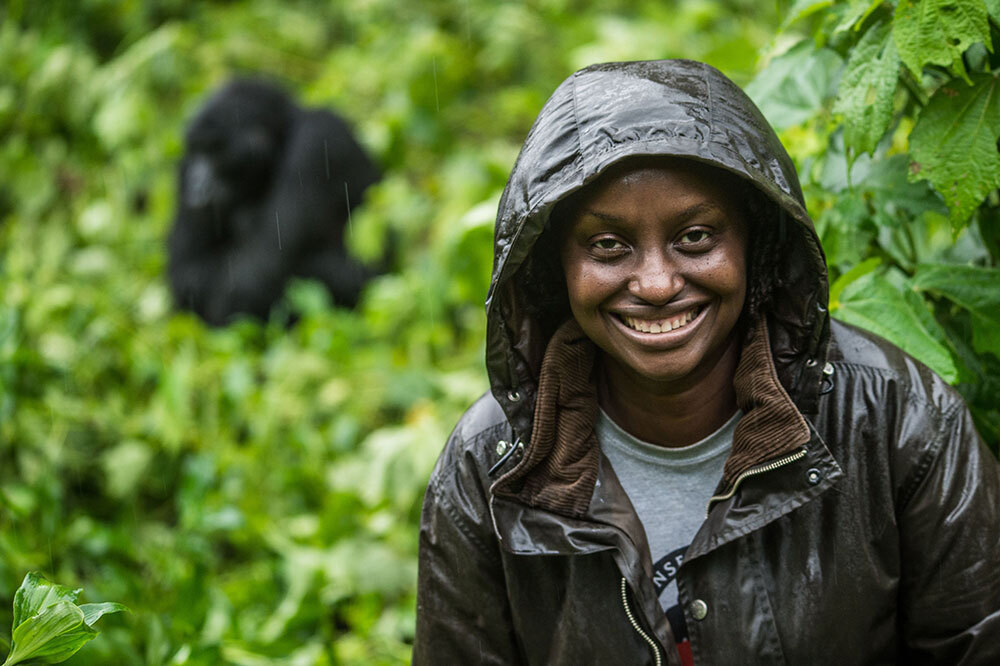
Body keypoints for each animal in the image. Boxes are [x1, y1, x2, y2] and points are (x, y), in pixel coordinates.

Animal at [168, 79, 378, 326]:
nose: (196, 181)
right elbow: (188, 272)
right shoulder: (182, 167)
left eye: (214, 150)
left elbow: (253, 278)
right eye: (196, 151)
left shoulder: (317, 142)